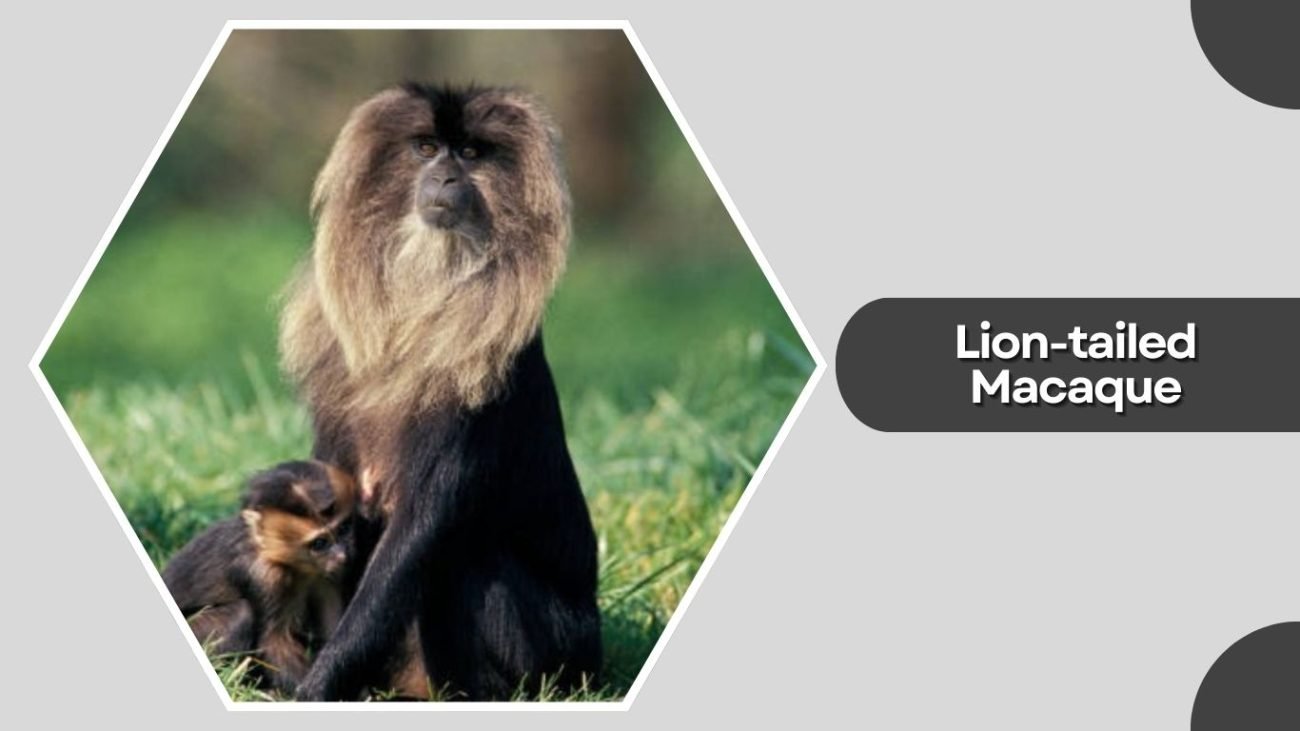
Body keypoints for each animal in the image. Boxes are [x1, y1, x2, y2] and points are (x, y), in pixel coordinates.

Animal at [280, 84, 602, 701]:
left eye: (472, 154)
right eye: (427, 148)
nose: (447, 177)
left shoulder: (483, 386)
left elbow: (421, 529)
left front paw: (318, 685)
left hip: (558, 656)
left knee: (466, 559)